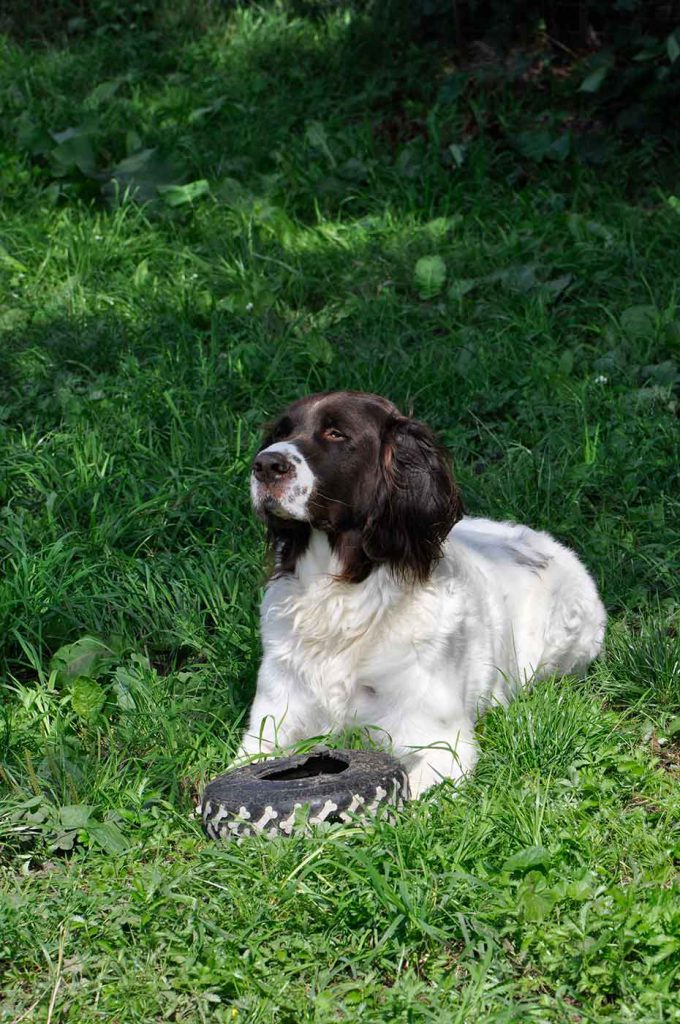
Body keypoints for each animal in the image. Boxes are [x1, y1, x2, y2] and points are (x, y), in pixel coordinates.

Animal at [240, 387, 606, 794]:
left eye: (336, 433)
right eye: (281, 432)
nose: (265, 464)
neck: (339, 595)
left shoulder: (441, 744)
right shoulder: (267, 731)